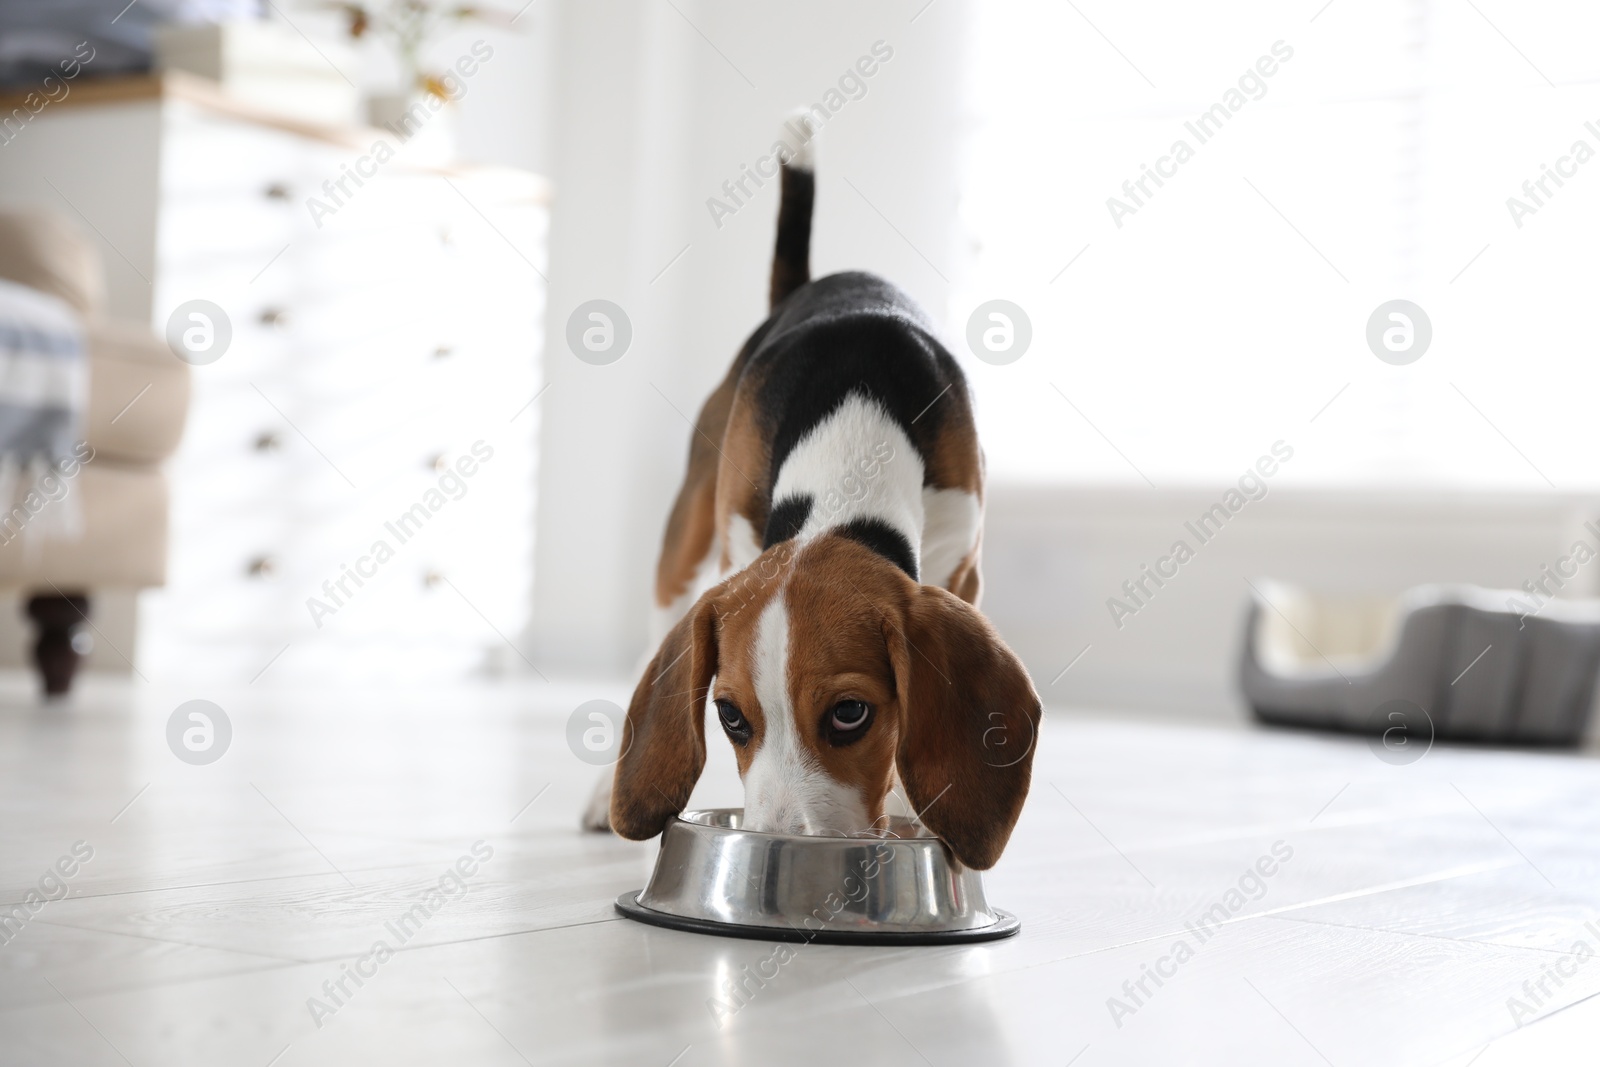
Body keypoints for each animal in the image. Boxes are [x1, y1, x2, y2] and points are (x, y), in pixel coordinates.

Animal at [595, 133, 1043, 870]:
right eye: (731, 717)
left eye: (849, 714)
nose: (783, 842)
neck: (851, 448)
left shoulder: (961, 568)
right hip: (684, 548)